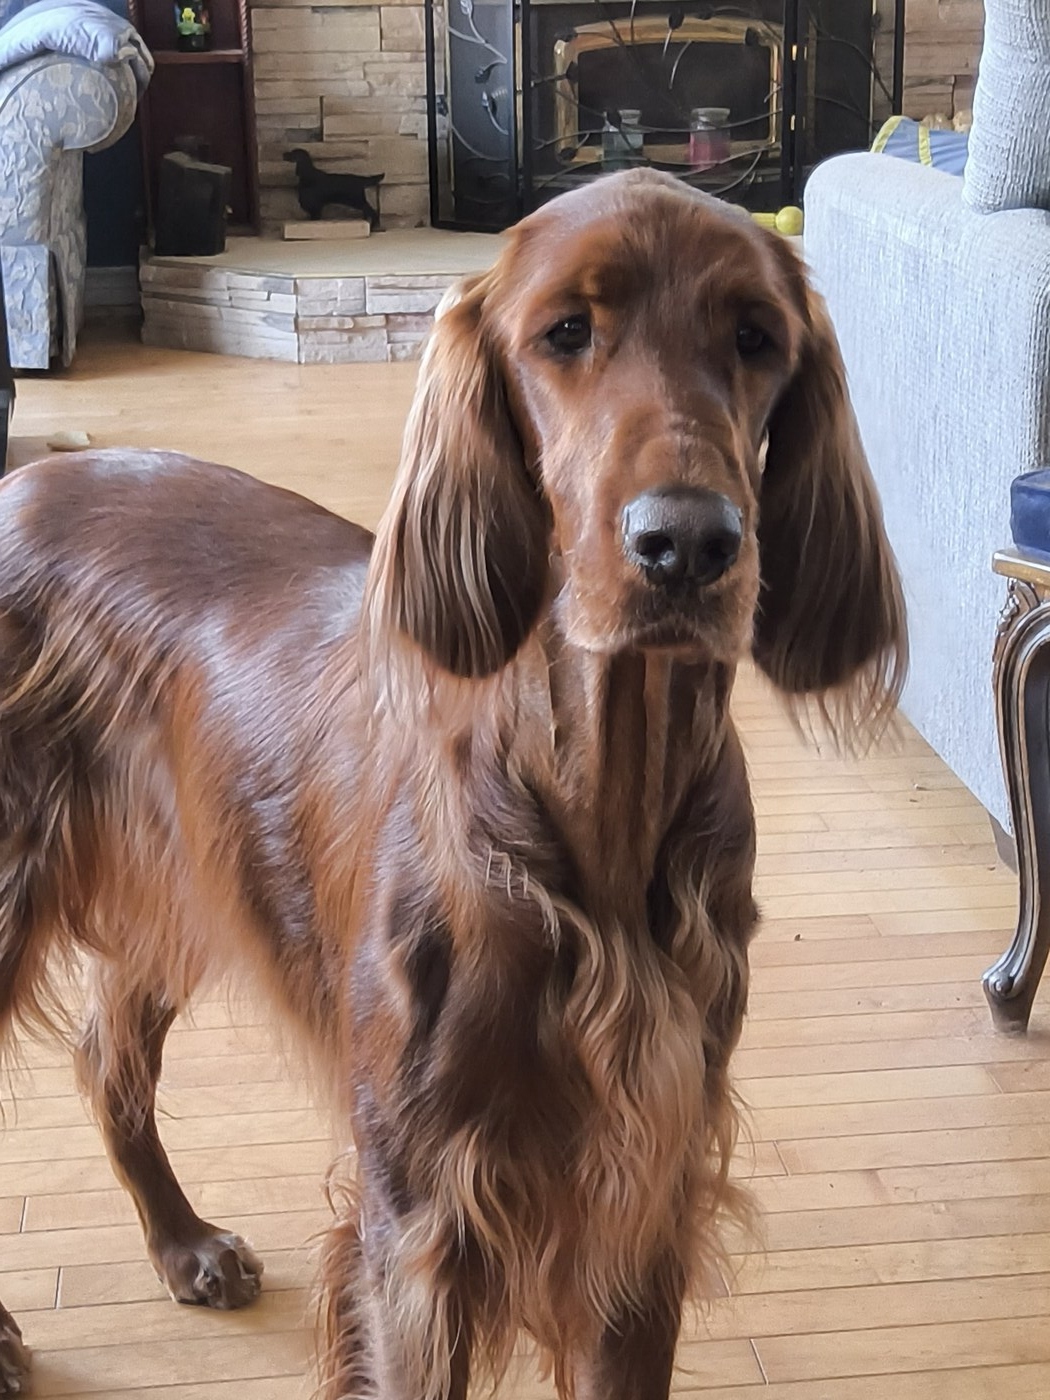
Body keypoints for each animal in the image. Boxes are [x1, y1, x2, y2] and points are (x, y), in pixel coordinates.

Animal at [0, 170, 905, 1398]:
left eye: (755, 337)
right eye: (564, 332)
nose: (687, 544)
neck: (598, 811)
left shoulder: (639, 1201)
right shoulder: (421, 1221)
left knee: (107, 1057)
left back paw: (184, 1243)